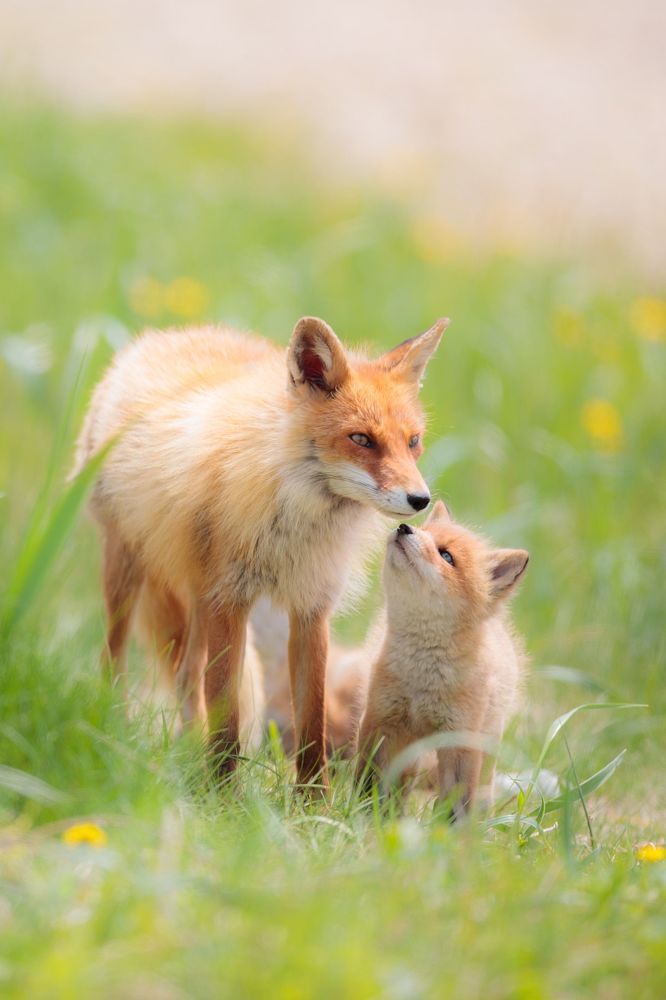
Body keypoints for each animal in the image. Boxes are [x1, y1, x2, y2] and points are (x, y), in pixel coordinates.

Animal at [73, 315, 448, 787]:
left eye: (413, 441)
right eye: (361, 439)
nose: (420, 500)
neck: (291, 517)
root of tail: (165, 335)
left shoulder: (310, 604)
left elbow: (311, 721)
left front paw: (312, 798)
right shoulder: (230, 600)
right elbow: (227, 712)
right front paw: (223, 793)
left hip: (198, 597)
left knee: (185, 675)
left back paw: (186, 752)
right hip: (129, 570)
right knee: (114, 657)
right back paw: (115, 731)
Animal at [356, 501, 528, 817]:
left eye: (446, 556)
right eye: (424, 531)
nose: (404, 527)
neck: (422, 677)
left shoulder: (459, 738)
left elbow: (458, 801)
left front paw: (450, 829)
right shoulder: (382, 719)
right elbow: (370, 780)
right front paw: (365, 814)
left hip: (484, 751)